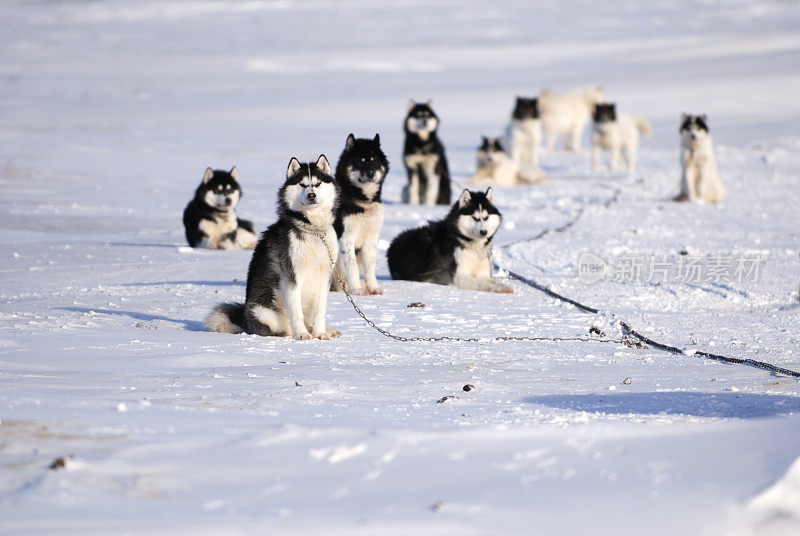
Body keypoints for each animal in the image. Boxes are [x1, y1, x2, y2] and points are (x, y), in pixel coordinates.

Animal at [203, 155, 340, 340]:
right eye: (302, 185)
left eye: (317, 184)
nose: (312, 195)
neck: (313, 230)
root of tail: (245, 319)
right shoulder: (291, 276)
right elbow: (296, 312)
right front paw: (302, 334)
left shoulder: (325, 276)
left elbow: (320, 310)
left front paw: (321, 333)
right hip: (263, 312)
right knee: (282, 328)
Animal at [332, 132, 390, 296]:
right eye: (360, 161)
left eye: (374, 161)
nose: (370, 173)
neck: (363, 202)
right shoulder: (346, 238)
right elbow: (353, 268)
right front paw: (357, 289)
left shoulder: (371, 238)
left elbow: (370, 267)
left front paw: (372, 287)